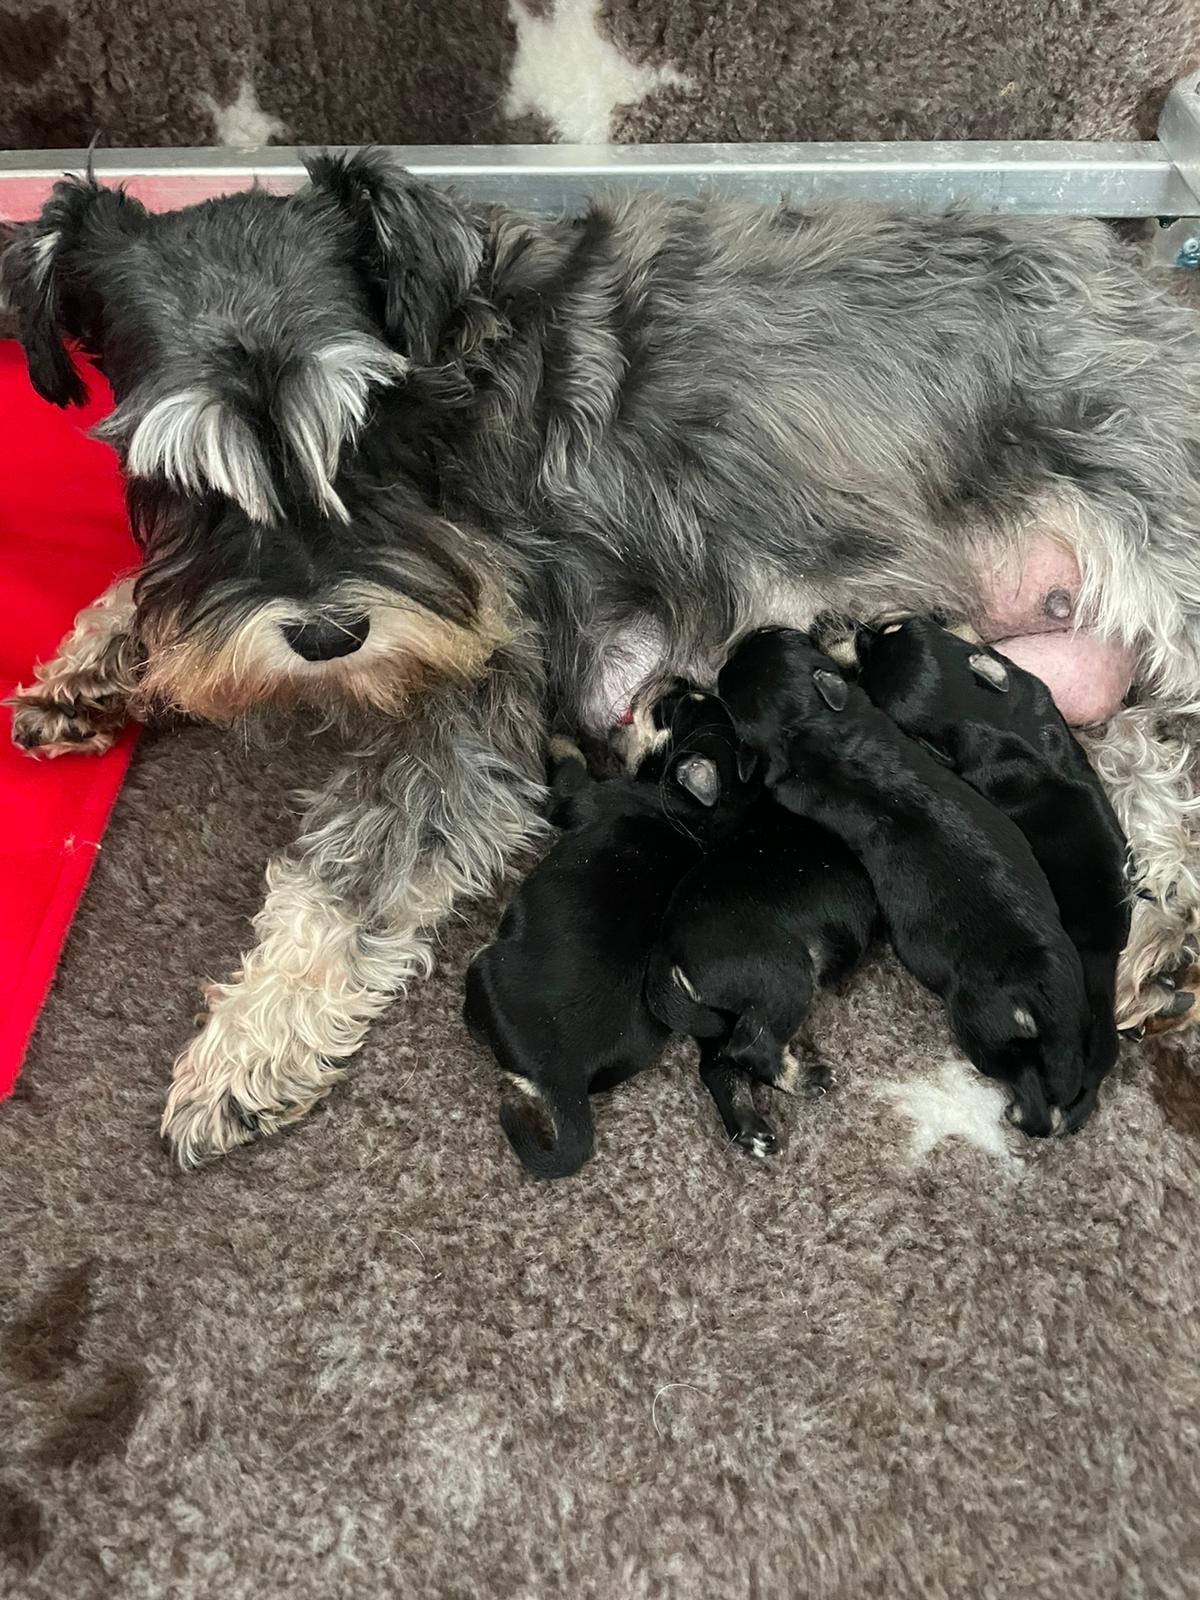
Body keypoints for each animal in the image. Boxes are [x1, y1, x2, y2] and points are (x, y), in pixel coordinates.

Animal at [464, 694, 755, 1184]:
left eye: (678, 708)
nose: (681, 684)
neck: (705, 813)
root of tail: (565, 1074)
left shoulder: (581, 797)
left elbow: (568, 767)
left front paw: (560, 735)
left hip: (485, 968)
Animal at [649, 806, 876, 1158]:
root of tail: (667, 955)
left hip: (716, 1021)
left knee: (718, 1065)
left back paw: (749, 1130)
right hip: (787, 976)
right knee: (753, 1049)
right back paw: (807, 1080)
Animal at [720, 624, 1094, 1139]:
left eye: (774, 635)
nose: (725, 657)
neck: (810, 730)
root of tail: (1033, 992)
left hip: (992, 1030)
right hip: (1058, 1022)